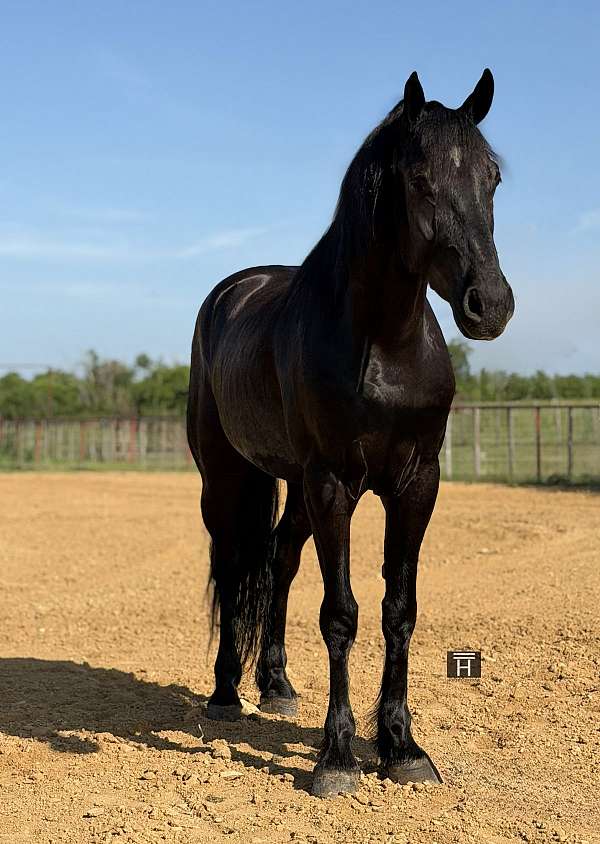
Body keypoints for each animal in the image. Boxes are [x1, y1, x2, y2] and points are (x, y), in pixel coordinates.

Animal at [187, 69, 514, 797]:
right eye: (420, 179)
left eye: (493, 177)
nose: (491, 305)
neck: (384, 346)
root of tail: (228, 294)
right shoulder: (335, 482)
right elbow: (340, 613)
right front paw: (336, 757)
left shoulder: (416, 483)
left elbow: (399, 609)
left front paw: (401, 748)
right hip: (230, 478)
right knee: (233, 561)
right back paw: (226, 694)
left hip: (295, 485)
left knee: (277, 560)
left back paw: (276, 685)